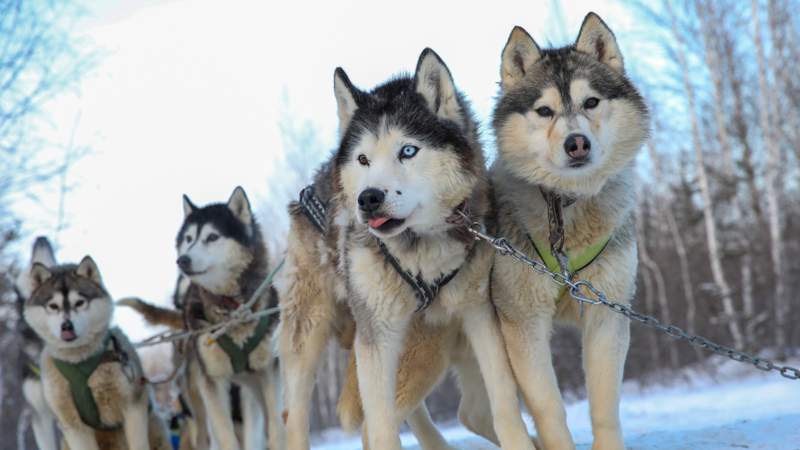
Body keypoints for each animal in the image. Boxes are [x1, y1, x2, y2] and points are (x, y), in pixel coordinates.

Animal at [23, 255, 172, 448]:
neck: (81, 362)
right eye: (53, 306)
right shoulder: (72, 424)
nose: (66, 326)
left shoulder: (133, 406)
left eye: (79, 303)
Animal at [278, 49, 536, 450]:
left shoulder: (478, 314)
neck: (420, 254)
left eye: (408, 151)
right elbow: (381, 427)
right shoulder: (377, 337)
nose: (368, 199)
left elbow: (506, 402)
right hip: (309, 337)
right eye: (363, 160)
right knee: (296, 416)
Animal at [488, 12, 648, 448]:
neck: (567, 210)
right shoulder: (523, 322)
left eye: (591, 102)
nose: (577, 143)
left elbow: (605, 406)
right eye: (544, 111)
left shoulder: (608, 312)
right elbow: (548, 407)